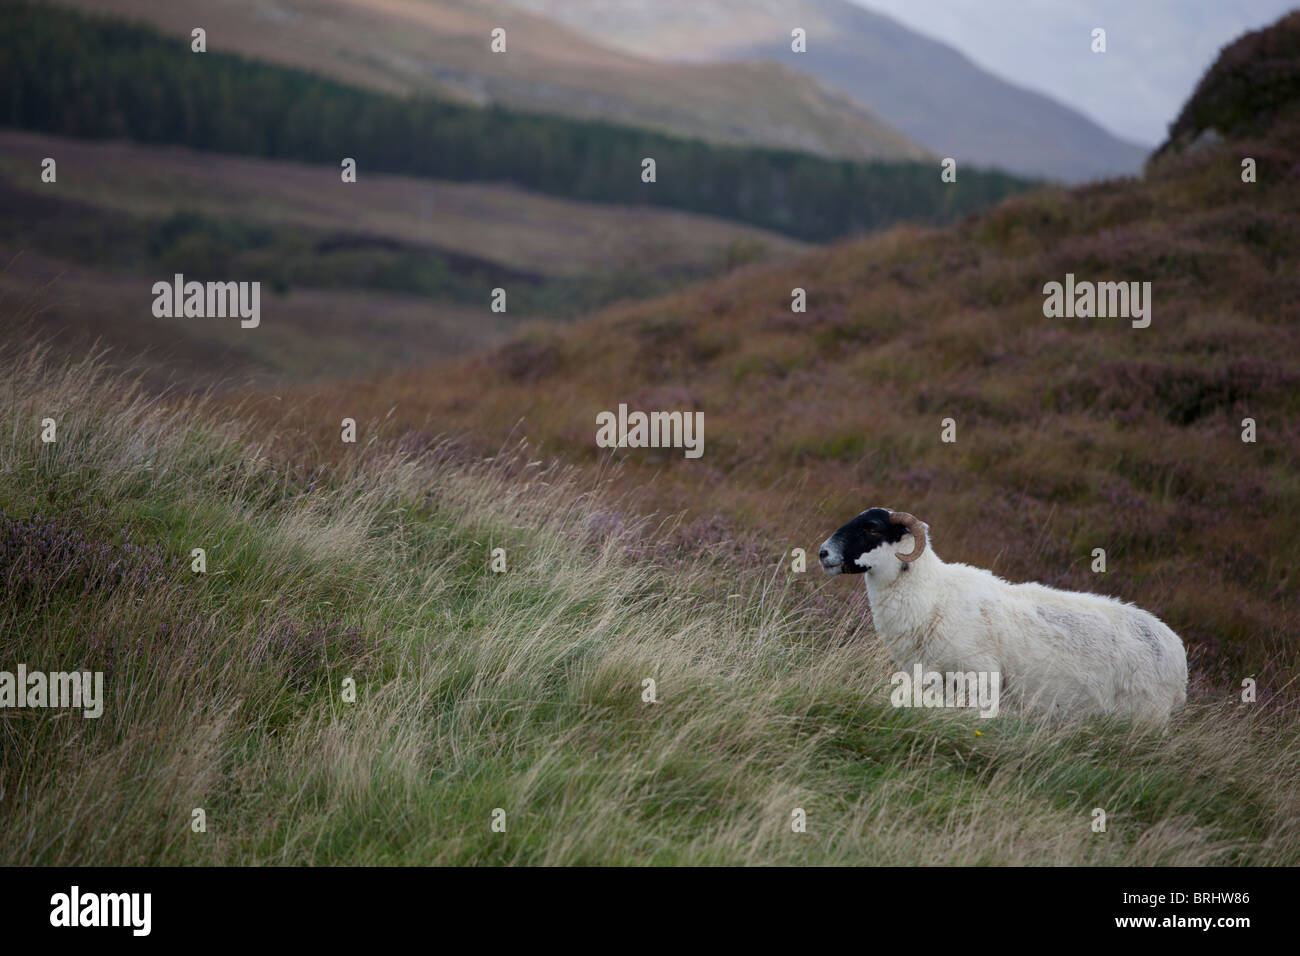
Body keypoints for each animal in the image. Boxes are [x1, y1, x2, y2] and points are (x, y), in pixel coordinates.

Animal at [821, 509, 1190, 723]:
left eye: (871, 528)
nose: (823, 553)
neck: (934, 594)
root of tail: (1177, 650)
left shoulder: (979, 676)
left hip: (1146, 717)